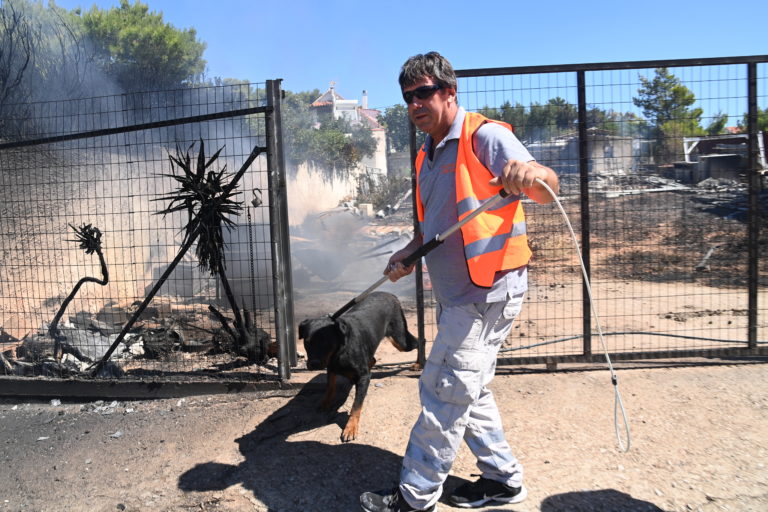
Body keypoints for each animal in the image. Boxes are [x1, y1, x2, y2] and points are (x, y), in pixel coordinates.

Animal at [298, 292, 416, 444]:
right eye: (307, 342)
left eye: (326, 342)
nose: (313, 364)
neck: (340, 349)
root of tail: (389, 294)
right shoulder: (331, 367)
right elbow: (330, 387)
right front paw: (325, 402)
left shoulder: (363, 376)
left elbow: (356, 405)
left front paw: (350, 428)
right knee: (373, 359)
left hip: (400, 340)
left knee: (420, 342)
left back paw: (420, 363)